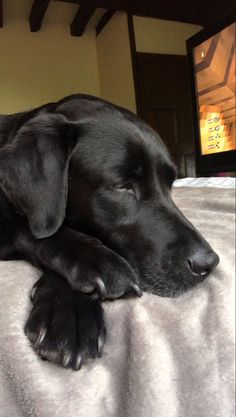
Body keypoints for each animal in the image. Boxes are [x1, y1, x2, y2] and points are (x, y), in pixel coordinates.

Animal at [0, 93, 219, 368]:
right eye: (122, 186)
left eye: (171, 184)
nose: (208, 263)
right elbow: (34, 229)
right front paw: (93, 267)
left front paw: (71, 312)